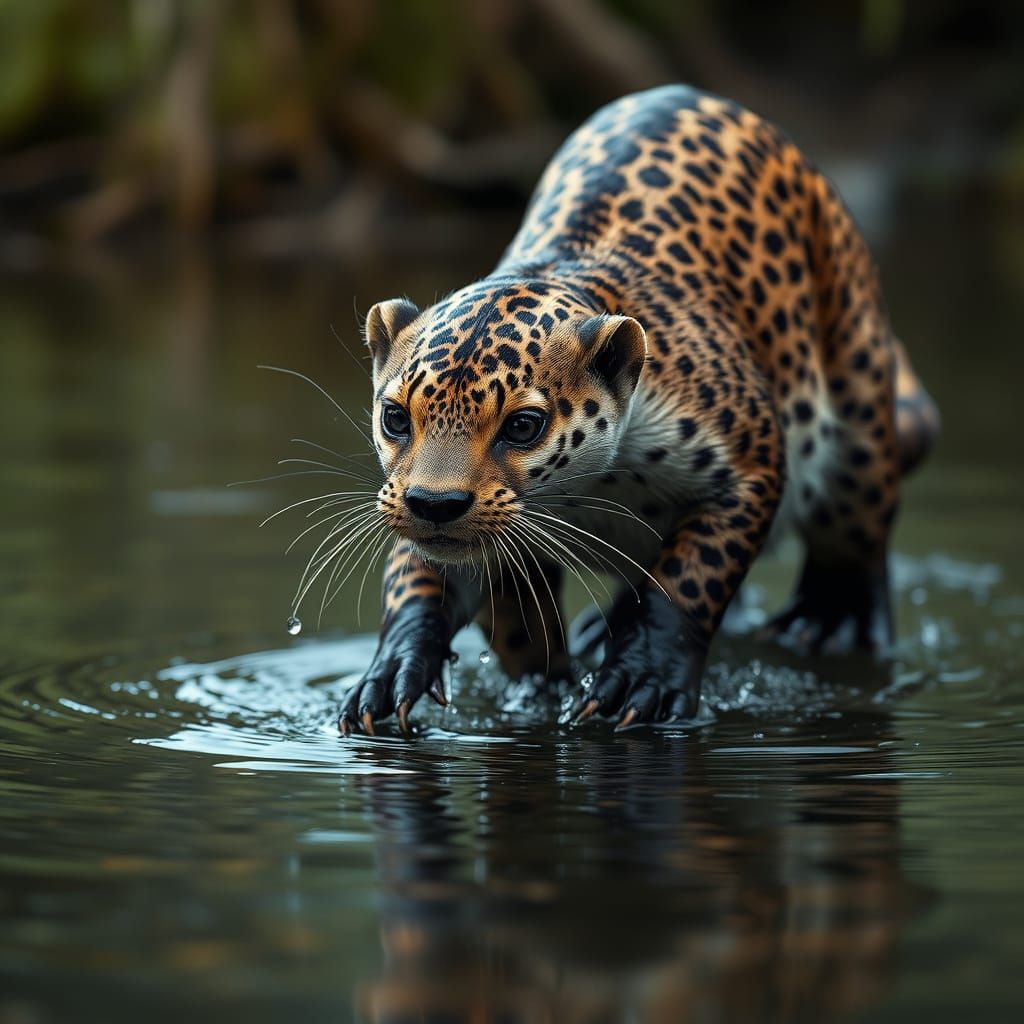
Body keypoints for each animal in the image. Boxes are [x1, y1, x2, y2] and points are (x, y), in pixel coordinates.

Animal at [335, 84, 939, 735]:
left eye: (523, 426)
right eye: (396, 418)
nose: (434, 504)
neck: (584, 491)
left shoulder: (750, 468)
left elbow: (693, 579)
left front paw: (640, 680)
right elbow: (419, 580)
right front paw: (394, 670)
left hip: (858, 412)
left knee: (858, 538)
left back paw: (831, 621)